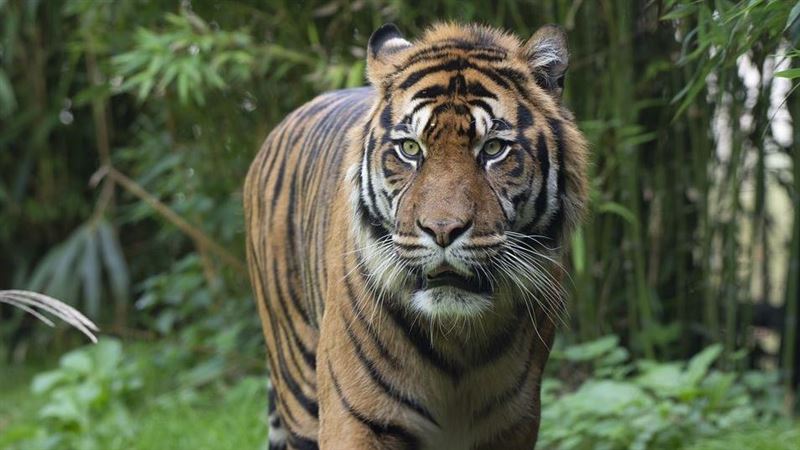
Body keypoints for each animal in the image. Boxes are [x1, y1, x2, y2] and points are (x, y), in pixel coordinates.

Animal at [244, 22, 588, 450]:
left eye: (493, 148)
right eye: (410, 148)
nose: (442, 230)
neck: (460, 344)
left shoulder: (514, 423)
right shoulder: (357, 417)